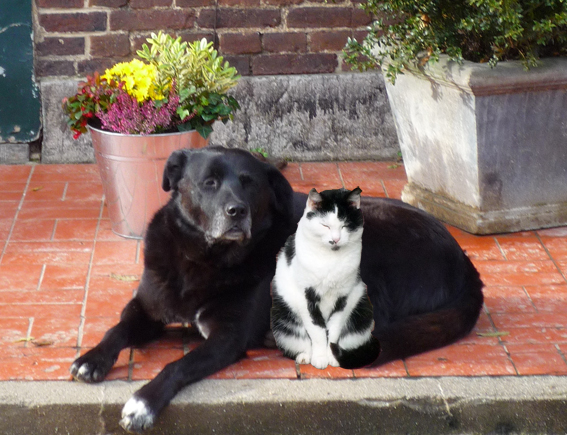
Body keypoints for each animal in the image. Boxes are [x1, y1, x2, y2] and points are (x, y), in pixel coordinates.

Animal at [272, 187, 382, 372]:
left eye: (345, 226)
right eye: (325, 225)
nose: (335, 239)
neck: (330, 261)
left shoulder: (344, 297)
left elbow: (333, 331)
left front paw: (332, 357)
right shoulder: (306, 298)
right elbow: (317, 331)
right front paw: (320, 358)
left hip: (362, 307)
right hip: (283, 315)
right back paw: (305, 356)